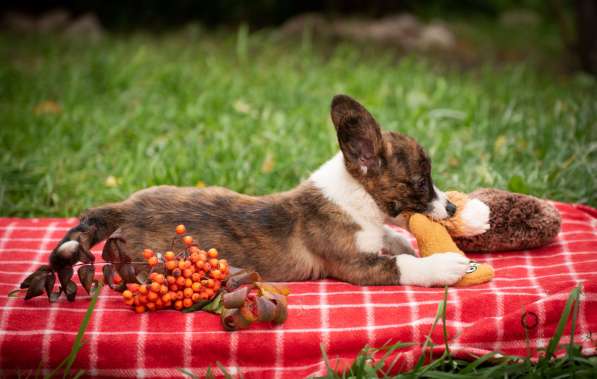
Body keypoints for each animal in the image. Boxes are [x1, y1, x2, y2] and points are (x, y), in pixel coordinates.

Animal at [50, 95, 466, 288]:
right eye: (421, 181)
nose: (451, 210)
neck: (356, 200)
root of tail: (123, 209)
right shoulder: (354, 265)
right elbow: (403, 264)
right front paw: (444, 265)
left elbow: (395, 242)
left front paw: (406, 242)